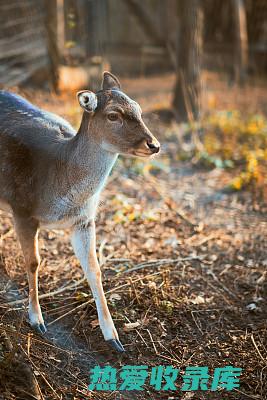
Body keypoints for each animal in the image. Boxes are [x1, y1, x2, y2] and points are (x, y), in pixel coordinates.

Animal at [0, 72, 160, 354]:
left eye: (139, 109)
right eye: (113, 115)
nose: (154, 145)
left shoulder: (84, 221)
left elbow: (94, 269)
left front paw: (113, 337)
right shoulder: (22, 209)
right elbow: (33, 262)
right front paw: (37, 320)